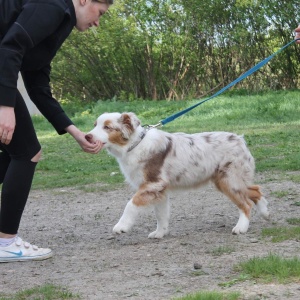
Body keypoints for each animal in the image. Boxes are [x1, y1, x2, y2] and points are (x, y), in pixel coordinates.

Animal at [85, 112, 270, 239]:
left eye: (107, 127)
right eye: (95, 125)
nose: (87, 136)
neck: (135, 145)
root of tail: (240, 139)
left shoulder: (152, 183)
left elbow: (131, 204)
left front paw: (121, 226)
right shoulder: (159, 189)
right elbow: (161, 214)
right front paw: (160, 233)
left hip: (229, 180)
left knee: (246, 203)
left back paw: (241, 227)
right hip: (227, 179)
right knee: (254, 190)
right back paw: (264, 212)